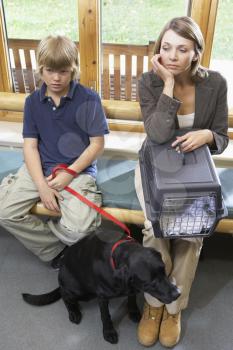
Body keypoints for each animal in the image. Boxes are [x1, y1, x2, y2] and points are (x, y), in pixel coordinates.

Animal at [22, 228, 179, 344]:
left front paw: (133, 312)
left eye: (164, 270)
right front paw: (108, 332)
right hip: (76, 289)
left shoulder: (131, 287)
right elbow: (105, 316)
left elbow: (131, 299)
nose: (177, 294)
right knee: (65, 296)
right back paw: (73, 312)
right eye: (151, 282)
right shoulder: (102, 297)